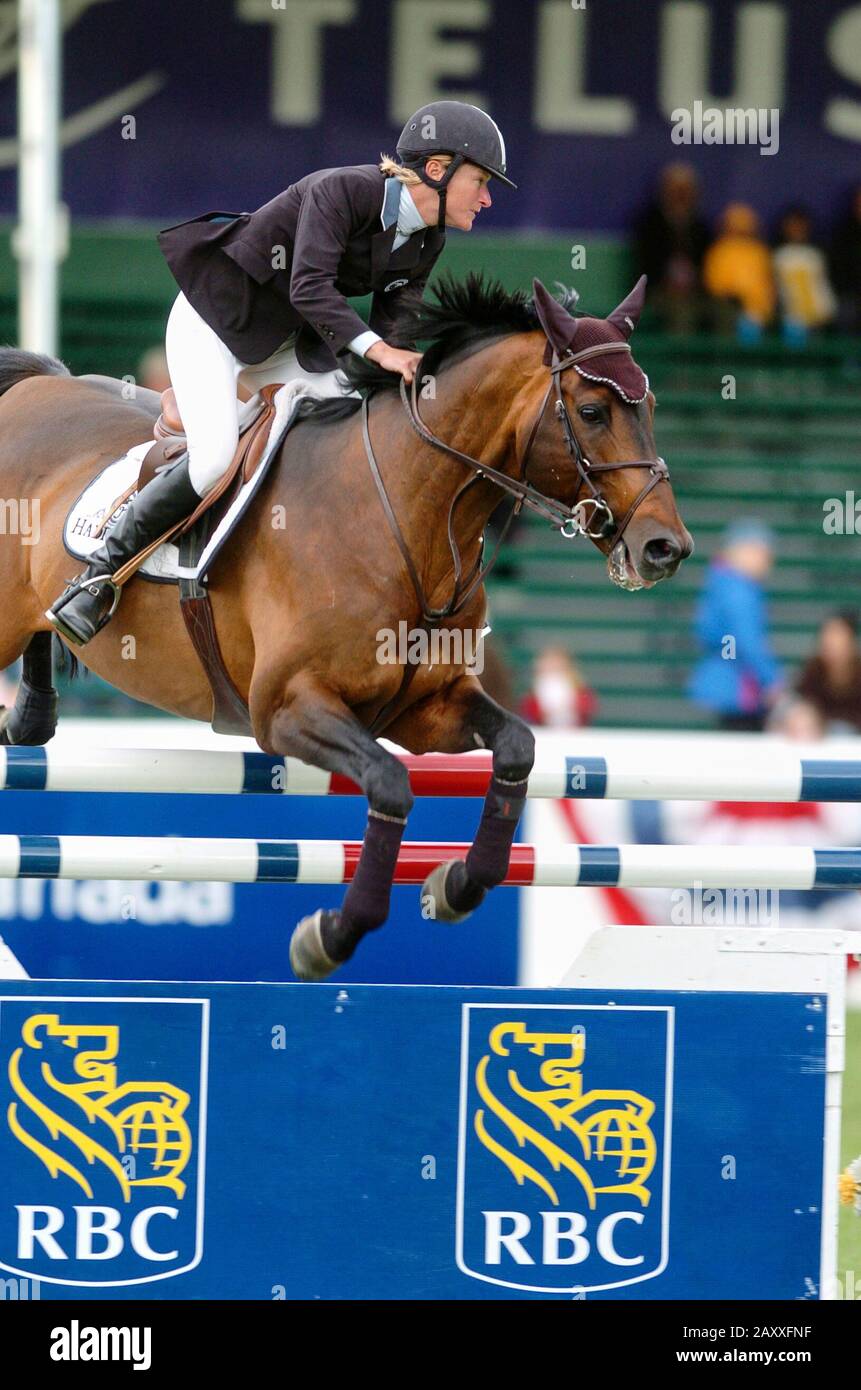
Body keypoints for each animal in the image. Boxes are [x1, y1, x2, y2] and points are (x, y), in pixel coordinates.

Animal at [0, 274, 692, 979]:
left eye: (650, 406)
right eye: (592, 412)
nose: (666, 548)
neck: (407, 512)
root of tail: (37, 385)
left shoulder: (424, 710)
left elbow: (517, 748)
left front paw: (456, 885)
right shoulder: (285, 708)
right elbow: (390, 783)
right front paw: (334, 932)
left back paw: (31, 714)